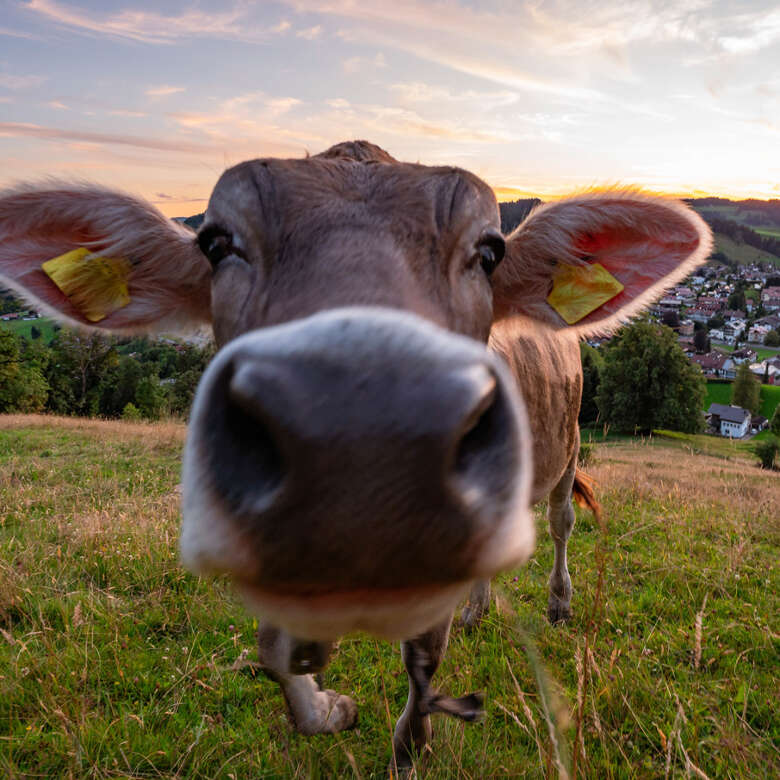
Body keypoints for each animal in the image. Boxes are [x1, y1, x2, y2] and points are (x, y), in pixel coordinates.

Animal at [0, 140, 708, 768]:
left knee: (560, 523)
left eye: (489, 251)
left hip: (570, 443)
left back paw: (559, 603)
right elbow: (274, 652)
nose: (361, 441)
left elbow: (424, 659)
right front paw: (330, 706)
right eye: (217, 243)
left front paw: (408, 750)